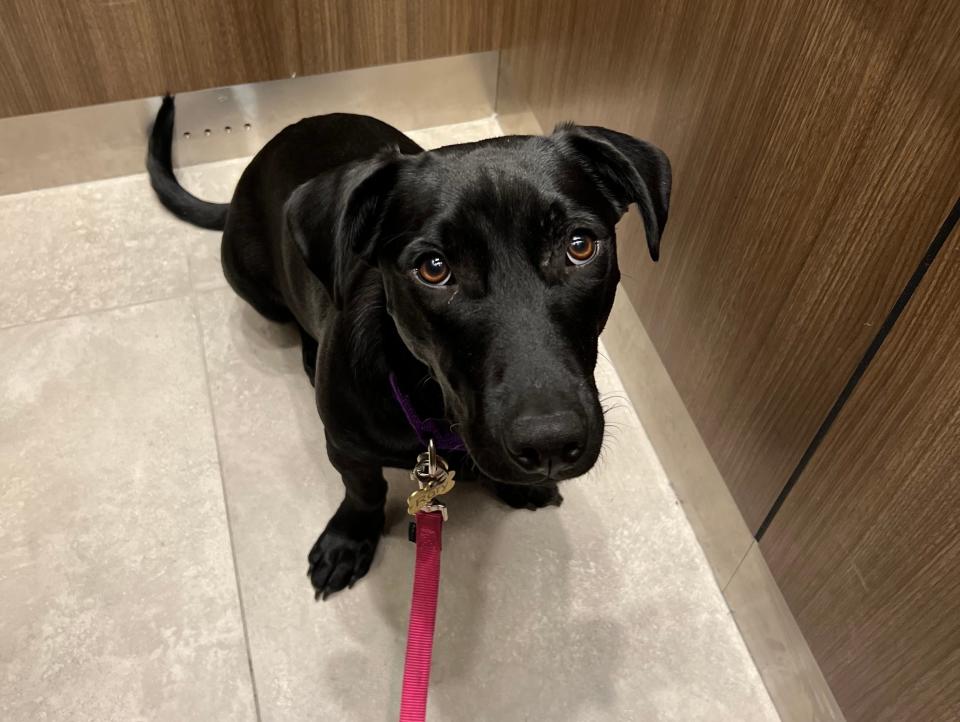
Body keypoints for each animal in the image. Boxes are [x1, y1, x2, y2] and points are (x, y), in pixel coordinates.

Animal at [146, 98, 668, 600]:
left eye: (580, 245)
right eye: (434, 268)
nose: (549, 443)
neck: (434, 411)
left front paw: (516, 486)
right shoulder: (346, 446)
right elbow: (363, 490)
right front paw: (349, 539)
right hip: (249, 281)